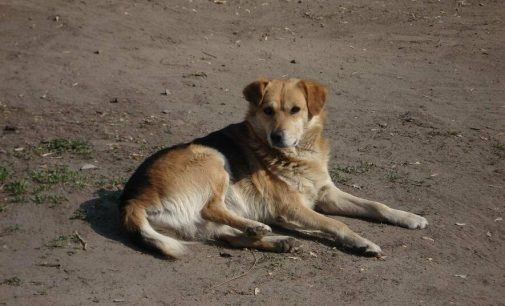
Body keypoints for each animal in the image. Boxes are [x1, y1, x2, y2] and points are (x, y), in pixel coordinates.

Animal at [120, 77, 428, 256]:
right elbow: (336, 223)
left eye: (296, 110)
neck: (298, 154)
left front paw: (408, 217)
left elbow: (376, 205)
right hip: (212, 158)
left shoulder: (326, 194)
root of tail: (132, 199)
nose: (277, 137)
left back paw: (276, 240)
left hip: (203, 221)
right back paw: (257, 226)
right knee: (212, 207)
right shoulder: (292, 207)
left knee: (231, 237)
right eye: (268, 111)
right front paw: (362, 241)